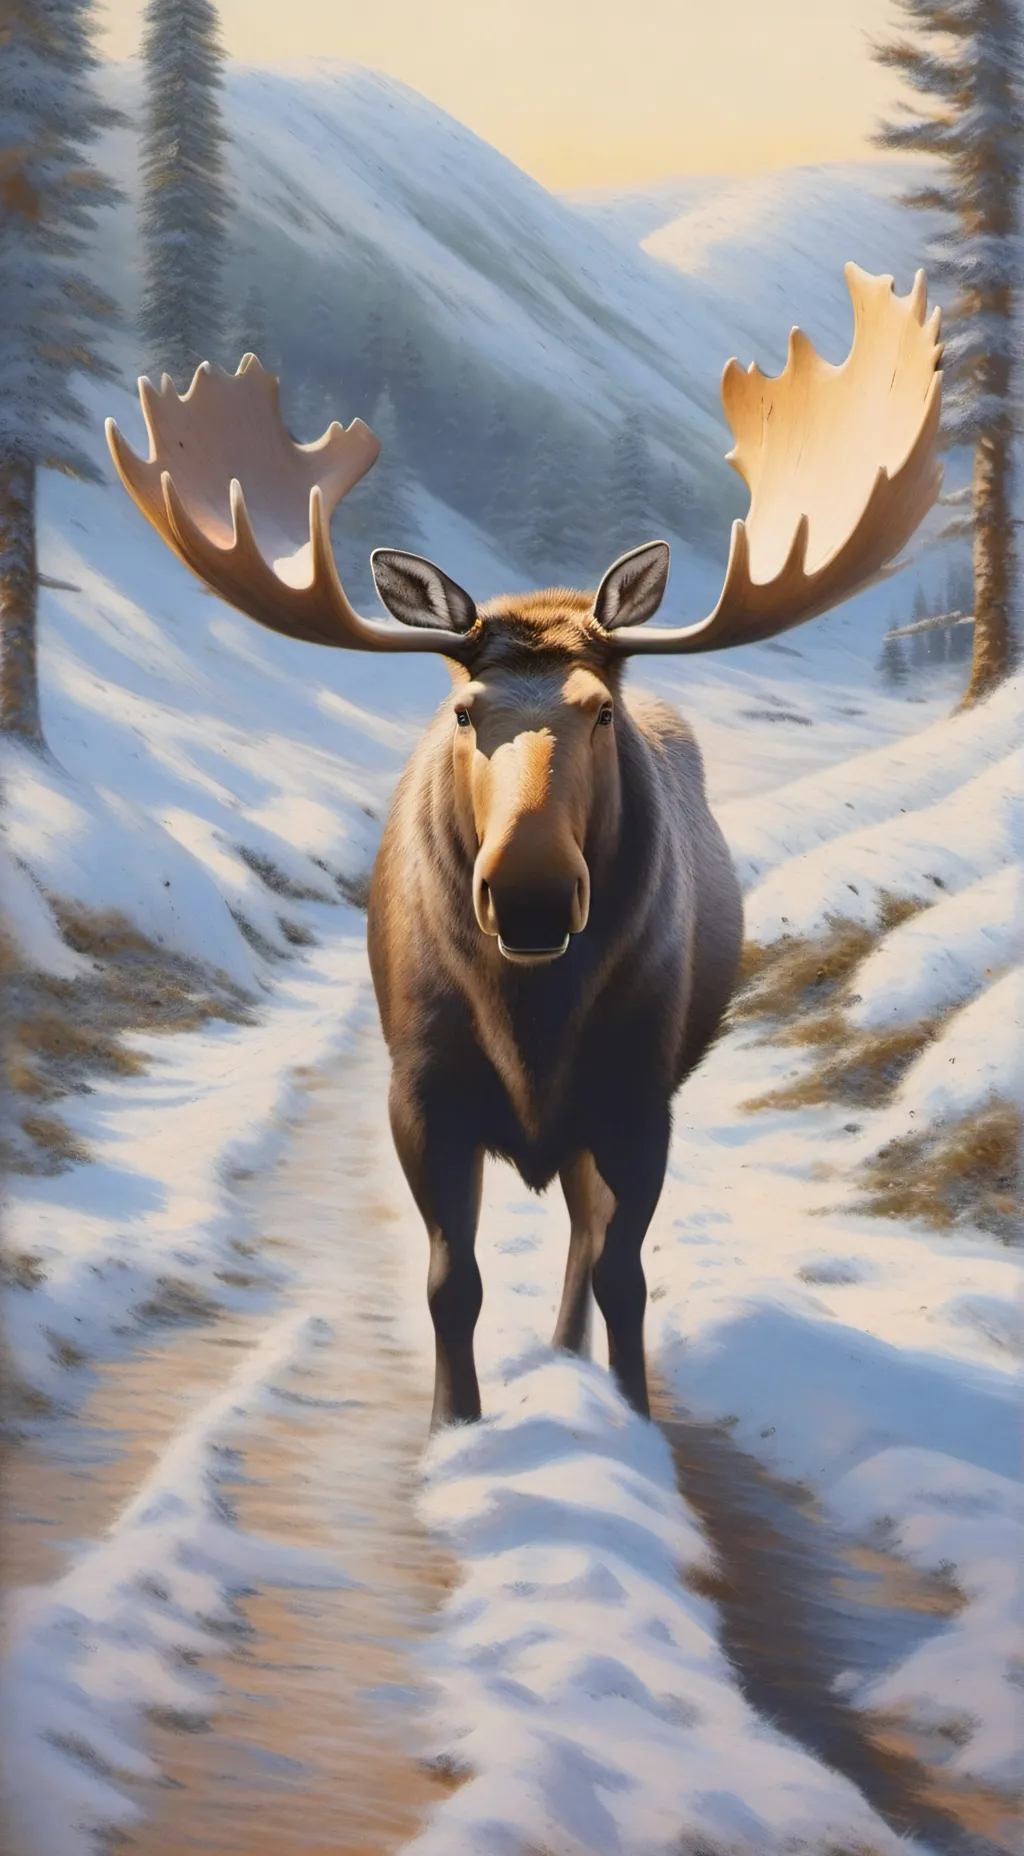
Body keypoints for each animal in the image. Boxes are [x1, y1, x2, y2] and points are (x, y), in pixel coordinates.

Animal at [106, 263, 943, 1430]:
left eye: (600, 708)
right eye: (465, 710)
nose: (534, 893)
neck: (531, 1022)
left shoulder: (638, 1091)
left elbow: (622, 1270)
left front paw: (630, 1414)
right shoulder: (421, 1088)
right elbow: (448, 1279)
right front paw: (452, 1422)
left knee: (588, 1235)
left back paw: (568, 1358)